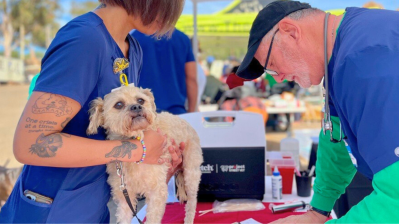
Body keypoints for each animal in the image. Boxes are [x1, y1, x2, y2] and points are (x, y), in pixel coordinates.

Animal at [86, 85, 203, 222]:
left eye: (140, 100)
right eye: (119, 104)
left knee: (192, 203)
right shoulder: (125, 195)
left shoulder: (157, 192)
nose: (136, 107)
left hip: (191, 174)